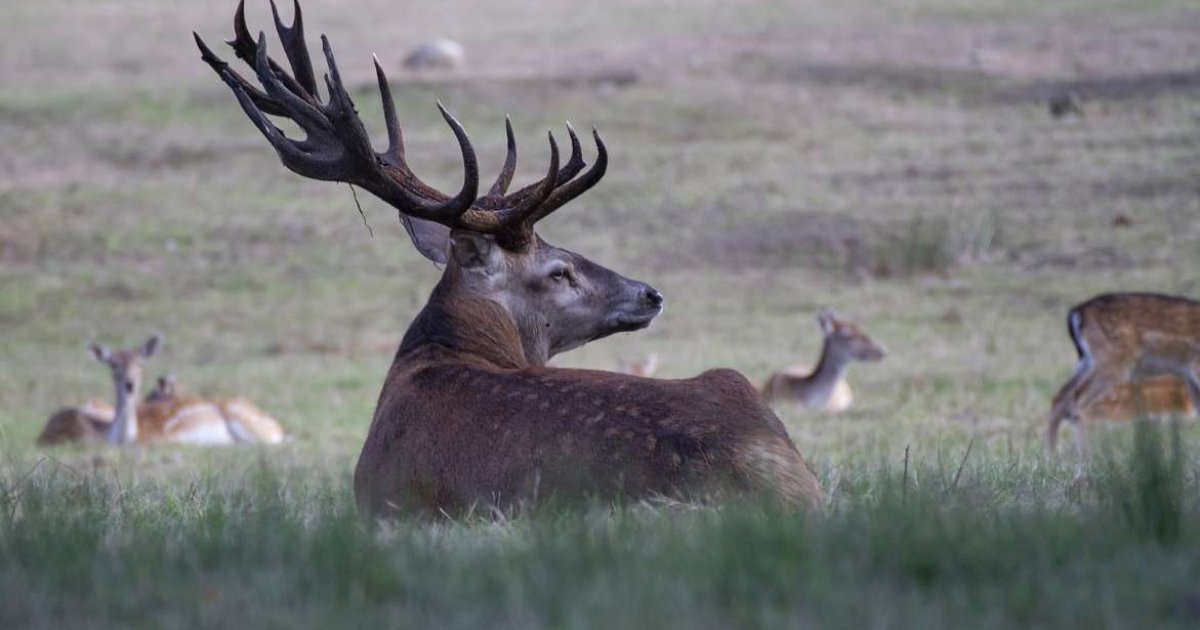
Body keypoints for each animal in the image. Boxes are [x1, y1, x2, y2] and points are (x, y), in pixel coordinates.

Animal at [1051, 292, 1200, 448]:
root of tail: (1077, 312)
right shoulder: (1196, 367)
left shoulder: (1188, 376)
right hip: (1112, 362)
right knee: (1079, 400)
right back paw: (1085, 454)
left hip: (1087, 361)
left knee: (1061, 397)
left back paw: (1052, 453)